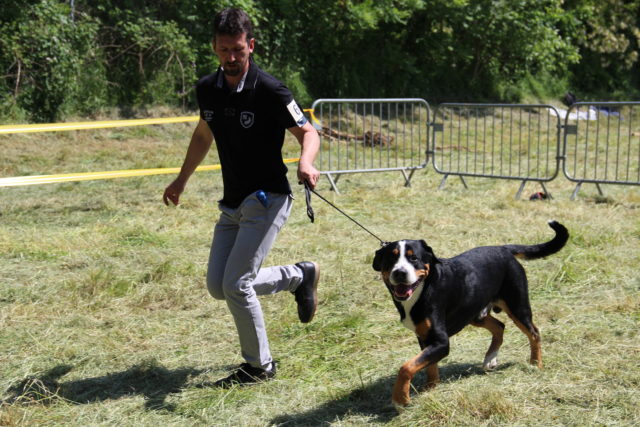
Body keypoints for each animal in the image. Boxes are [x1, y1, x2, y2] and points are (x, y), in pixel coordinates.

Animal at [372, 221, 568, 408]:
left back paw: (535, 364)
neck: (422, 290)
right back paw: (490, 358)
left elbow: (406, 367)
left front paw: (400, 398)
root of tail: (503, 248)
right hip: (475, 313)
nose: (400, 272)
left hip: (517, 306)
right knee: (499, 326)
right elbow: (428, 365)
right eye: (391, 258)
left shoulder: (441, 342)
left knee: (534, 333)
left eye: (414, 258)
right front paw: (431, 387)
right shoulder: (425, 337)